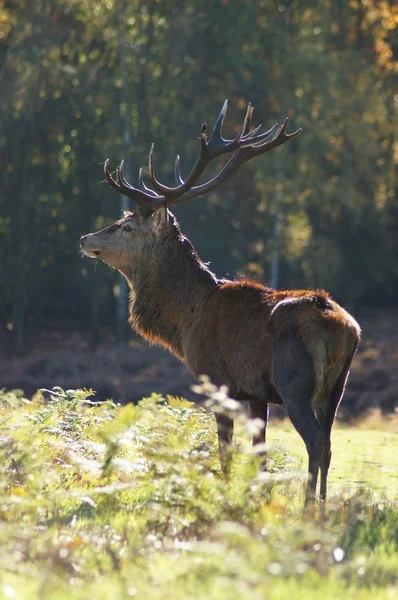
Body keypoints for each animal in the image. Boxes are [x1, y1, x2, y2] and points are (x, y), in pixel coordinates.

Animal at [81, 101, 360, 504]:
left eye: (127, 227)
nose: (85, 238)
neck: (185, 321)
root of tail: (342, 329)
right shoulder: (257, 393)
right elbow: (259, 451)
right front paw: (259, 500)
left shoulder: (217, 381)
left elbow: (225, 449)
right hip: (337, 387)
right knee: (330, 443)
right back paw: (322, 508)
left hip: (295, 382)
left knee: (315, 441)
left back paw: (308, 509)